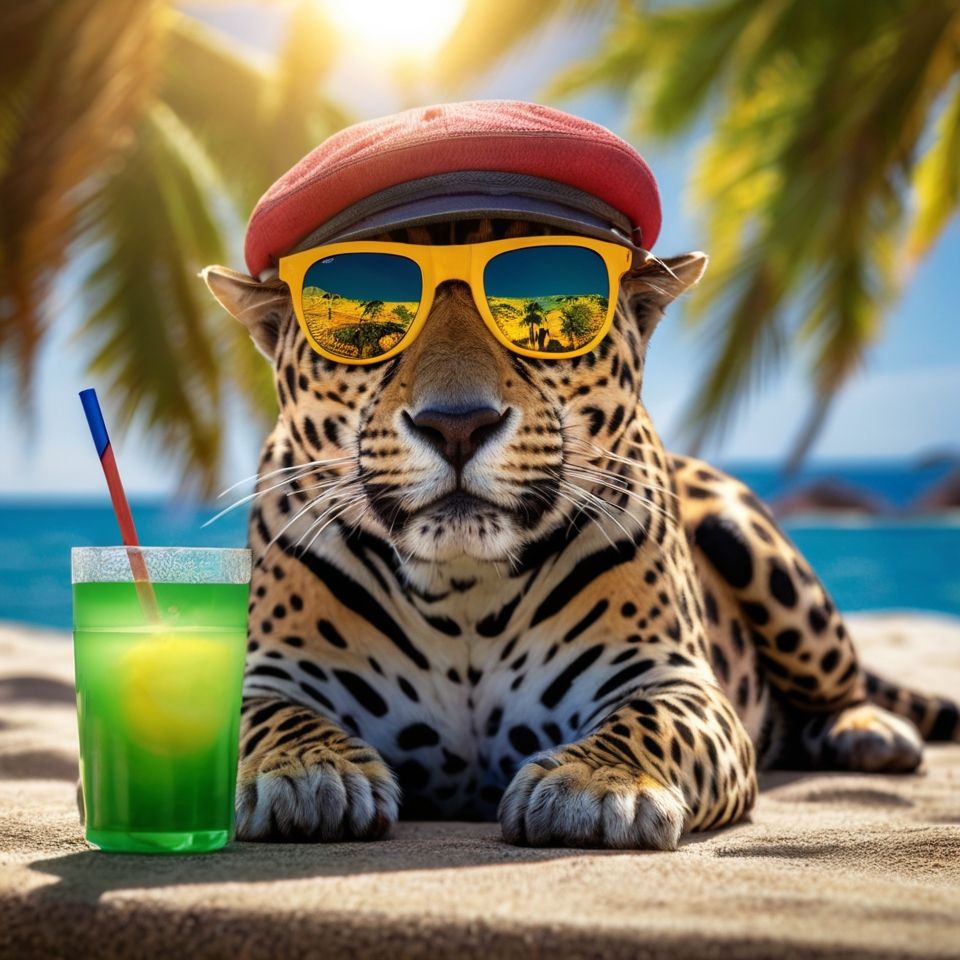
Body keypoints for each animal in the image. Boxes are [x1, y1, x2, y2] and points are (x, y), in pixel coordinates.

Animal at [203, 217, 960, 850]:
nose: (457, 424)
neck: (461, 589)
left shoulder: (673, 677)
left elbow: (648, 722)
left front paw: (596, 786)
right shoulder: (270, 672)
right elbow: (268, 718)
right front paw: (308, 771)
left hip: (746, 538)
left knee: (838, 684)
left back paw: (867, 732)